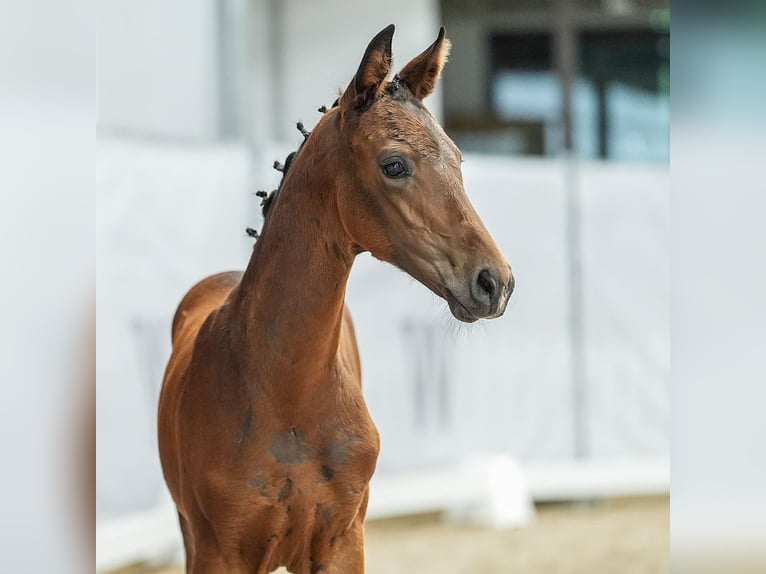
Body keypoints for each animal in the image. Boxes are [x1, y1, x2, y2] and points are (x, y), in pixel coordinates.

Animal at [158, 23, 512, 574]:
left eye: (457, 159)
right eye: (394, 165)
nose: (494, 282)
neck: (287, 396)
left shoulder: (343, 540)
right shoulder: (220, 551)